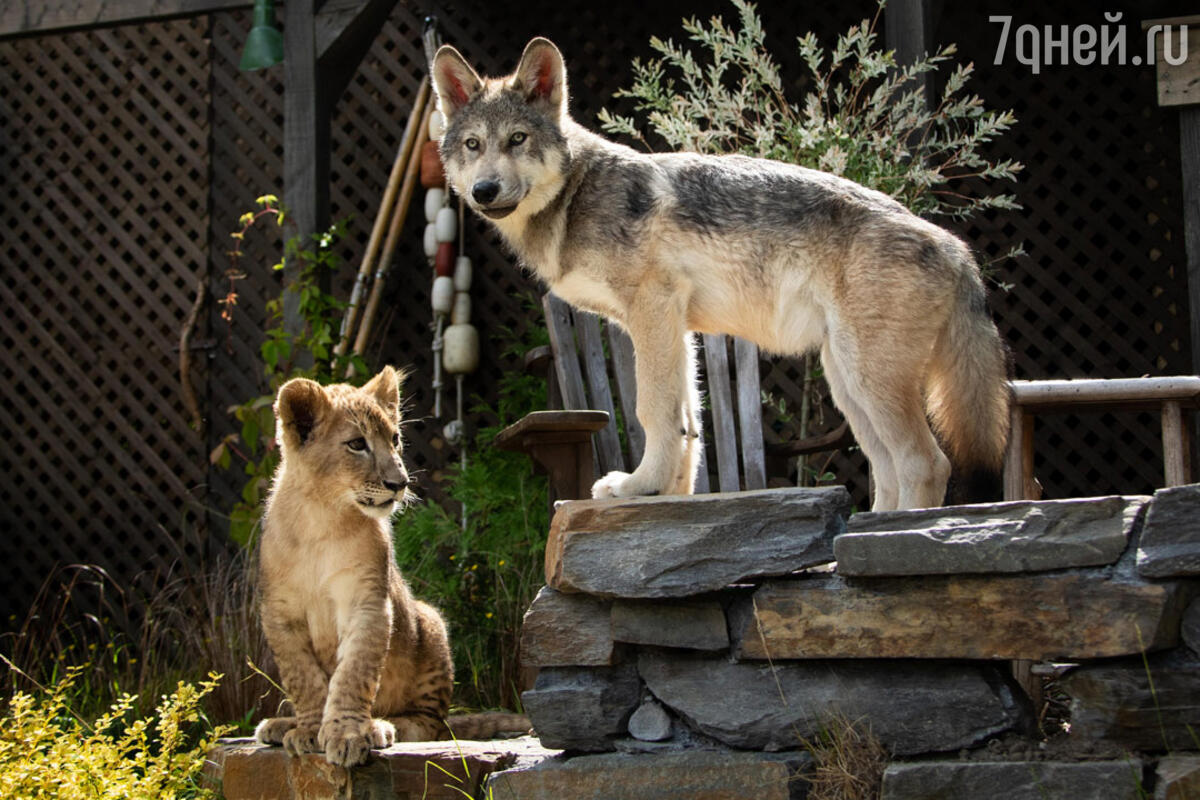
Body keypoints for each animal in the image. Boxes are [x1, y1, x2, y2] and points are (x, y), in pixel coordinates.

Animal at [432, 37, 1012, 510]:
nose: (484, 191)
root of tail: (958, 248)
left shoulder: (653, 311)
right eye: (473, 145)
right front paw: (669, 495)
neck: (576, 195)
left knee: (926, 463)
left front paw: (637, 487)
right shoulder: (676, 327)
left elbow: (652, 410)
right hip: (848, 383)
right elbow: (688, 423)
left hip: (868, 379)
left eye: (517, 139)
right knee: (887, 468)